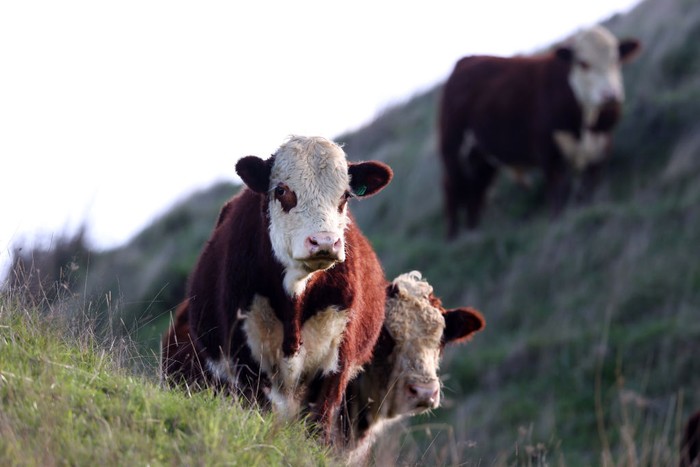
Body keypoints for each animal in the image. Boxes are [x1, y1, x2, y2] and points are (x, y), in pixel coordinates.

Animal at [163, 134, 394, 438]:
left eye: (345, 195)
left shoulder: (336, 364)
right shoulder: (246, 358)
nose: (324, 242)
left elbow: (319, 425)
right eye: (282, 190)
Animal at [440, 24, 644, 238]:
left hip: (482, 157)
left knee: (476, 191)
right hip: (453, 148)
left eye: (615, 60)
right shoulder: (549, 151)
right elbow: (558, 191)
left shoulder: (601, 146)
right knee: (453, 188)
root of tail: (466, 60)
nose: (610, 95)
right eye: (583, 63)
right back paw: (454, 237)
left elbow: (589, 187)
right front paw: (557, 222)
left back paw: (473, 234)